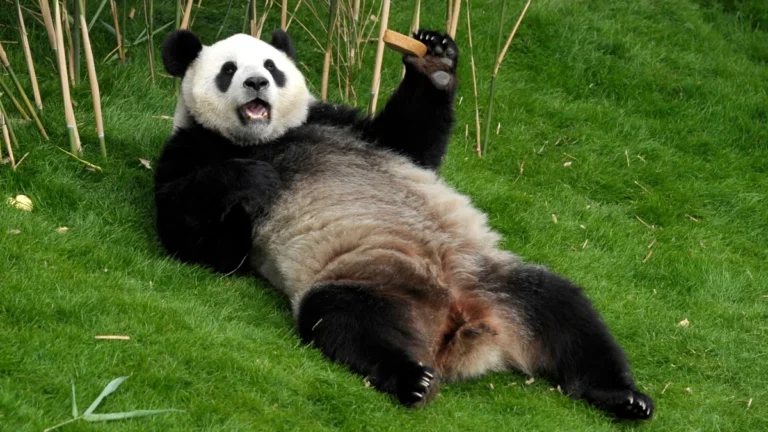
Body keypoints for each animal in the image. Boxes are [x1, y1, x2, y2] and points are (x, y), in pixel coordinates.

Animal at [155, 28, 654, 420]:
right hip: (370, 279)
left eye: (272, 67)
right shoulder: (193, 146)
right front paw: (250, 179)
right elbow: (201, 244)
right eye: (229, 70)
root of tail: (463, 322)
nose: (256, 83)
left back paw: (623, 396)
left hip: (496, 279)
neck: (270, 138)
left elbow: (411, 142)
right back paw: (414, 380)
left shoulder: (339, 120)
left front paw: (434, 59)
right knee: (346, 322)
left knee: (568, 313)